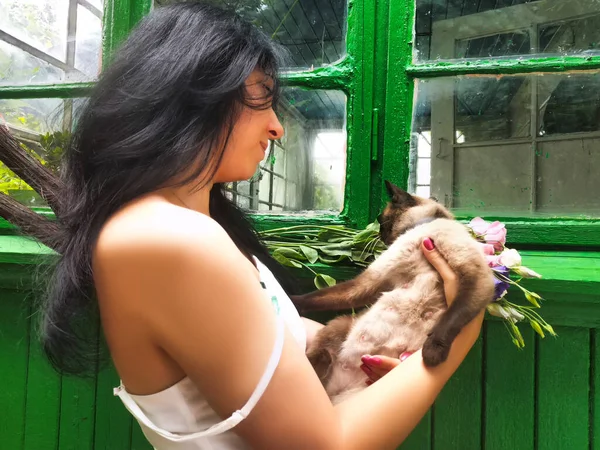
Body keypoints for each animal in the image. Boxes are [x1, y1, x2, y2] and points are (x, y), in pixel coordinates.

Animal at [292, 181, 494, 402]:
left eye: (381, 220)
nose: (379, 233)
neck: (421, 229)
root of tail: (341, 387)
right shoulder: (372, 280)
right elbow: (318, 296)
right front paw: (293, 299)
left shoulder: (474, 277)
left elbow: (450, 319)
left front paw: (432, 353)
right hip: (339, 327)